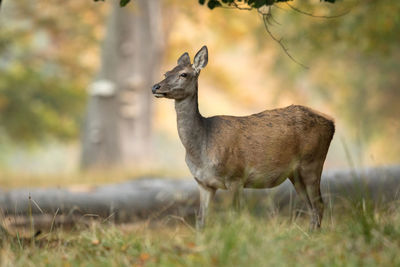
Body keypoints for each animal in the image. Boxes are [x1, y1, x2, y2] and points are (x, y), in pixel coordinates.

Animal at [151, 46, 334, 230]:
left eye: (184, 74)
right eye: (166, 72)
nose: (155, 87)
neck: (202, 147)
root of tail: (332, 123)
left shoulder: (236, 176)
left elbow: (235, 217)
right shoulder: (204, 183)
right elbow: (201, 220)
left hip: (312, 162)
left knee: (319, 204)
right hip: (295, 174)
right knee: (311, 207)